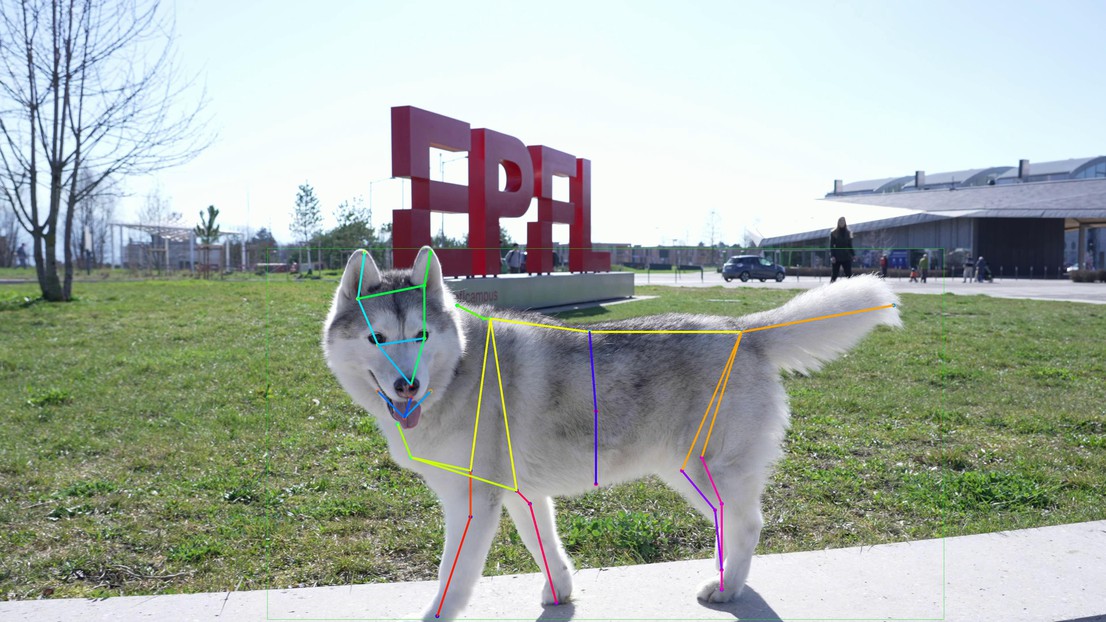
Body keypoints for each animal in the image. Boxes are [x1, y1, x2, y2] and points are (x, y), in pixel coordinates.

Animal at [320, 244, 898, 615]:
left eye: (419, 335)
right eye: (378, 338)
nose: (407, 386)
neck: (457, 371)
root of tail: (741, 329)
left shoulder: (472, 504)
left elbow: (451, 580)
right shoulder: (520, 495)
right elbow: (545, 549)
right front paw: (560, 593)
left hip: (708, 469)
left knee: (749, 523)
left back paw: (729, 588)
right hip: (687, 473)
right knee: (734, 522)